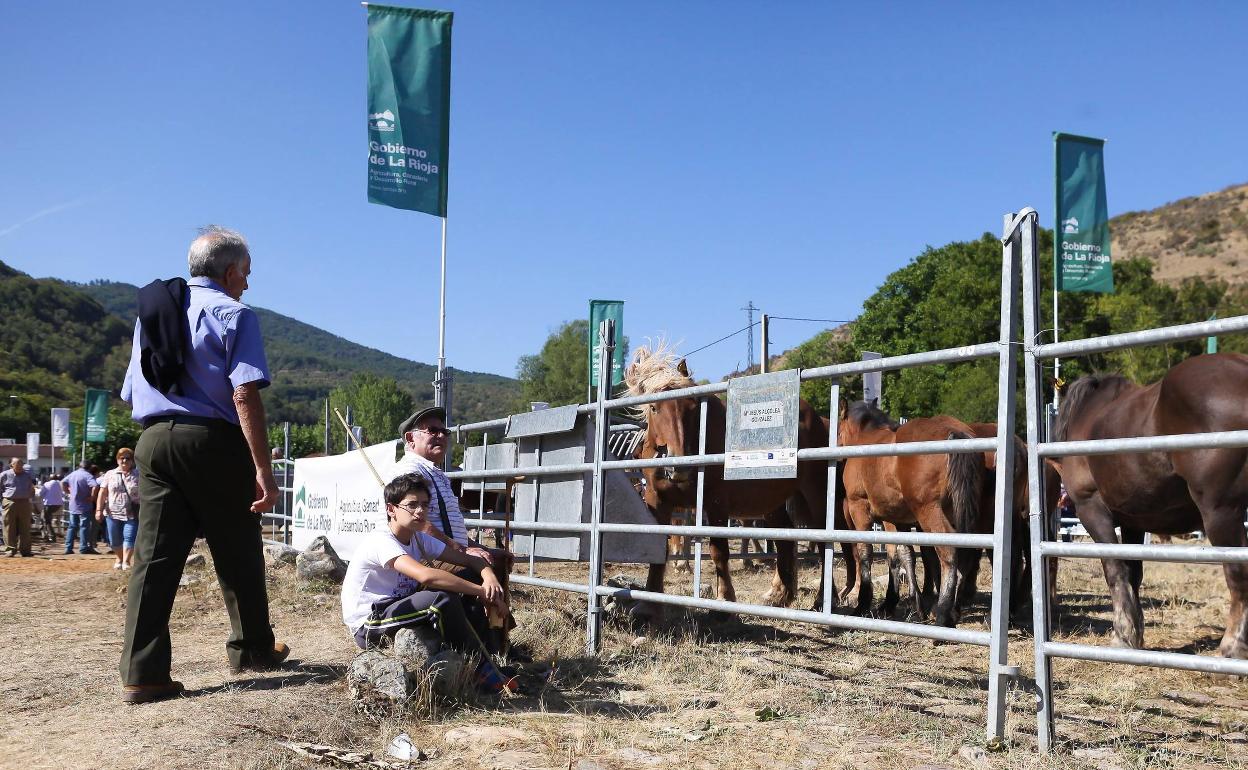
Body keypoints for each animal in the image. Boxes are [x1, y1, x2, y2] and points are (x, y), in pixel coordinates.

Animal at [628, 341, 833, 611]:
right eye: (654, 407)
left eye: (693, 406)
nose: (679, 467)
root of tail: (818, 419)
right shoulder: (657, 501)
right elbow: (659, 548)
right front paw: (650, 602)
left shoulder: (715, 504)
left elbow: (719, 551)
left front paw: (725, 601)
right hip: (772, 502)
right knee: (786, 539)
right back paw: (778, 594)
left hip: (815, 495)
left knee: (823, 541)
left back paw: (822, 600)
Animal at [838, 399, 983, 626]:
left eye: (839, 429)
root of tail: (955, 433)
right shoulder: (897, 519)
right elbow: (904, 555)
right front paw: (912, 606)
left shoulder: (859, 509)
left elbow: (866, 553)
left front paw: (863, 604)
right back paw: (950, 611)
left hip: (930, 512)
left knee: (949, 553)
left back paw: (943, 613)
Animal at [1053, 351, 1248, 658]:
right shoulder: (1133, 520)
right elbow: (1134, 573)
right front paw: (1135, 633)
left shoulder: (1091, 509)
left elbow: (1114, 569)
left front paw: (1123, 634)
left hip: (1221, 512)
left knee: (1238, 574)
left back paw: (1233, 647)